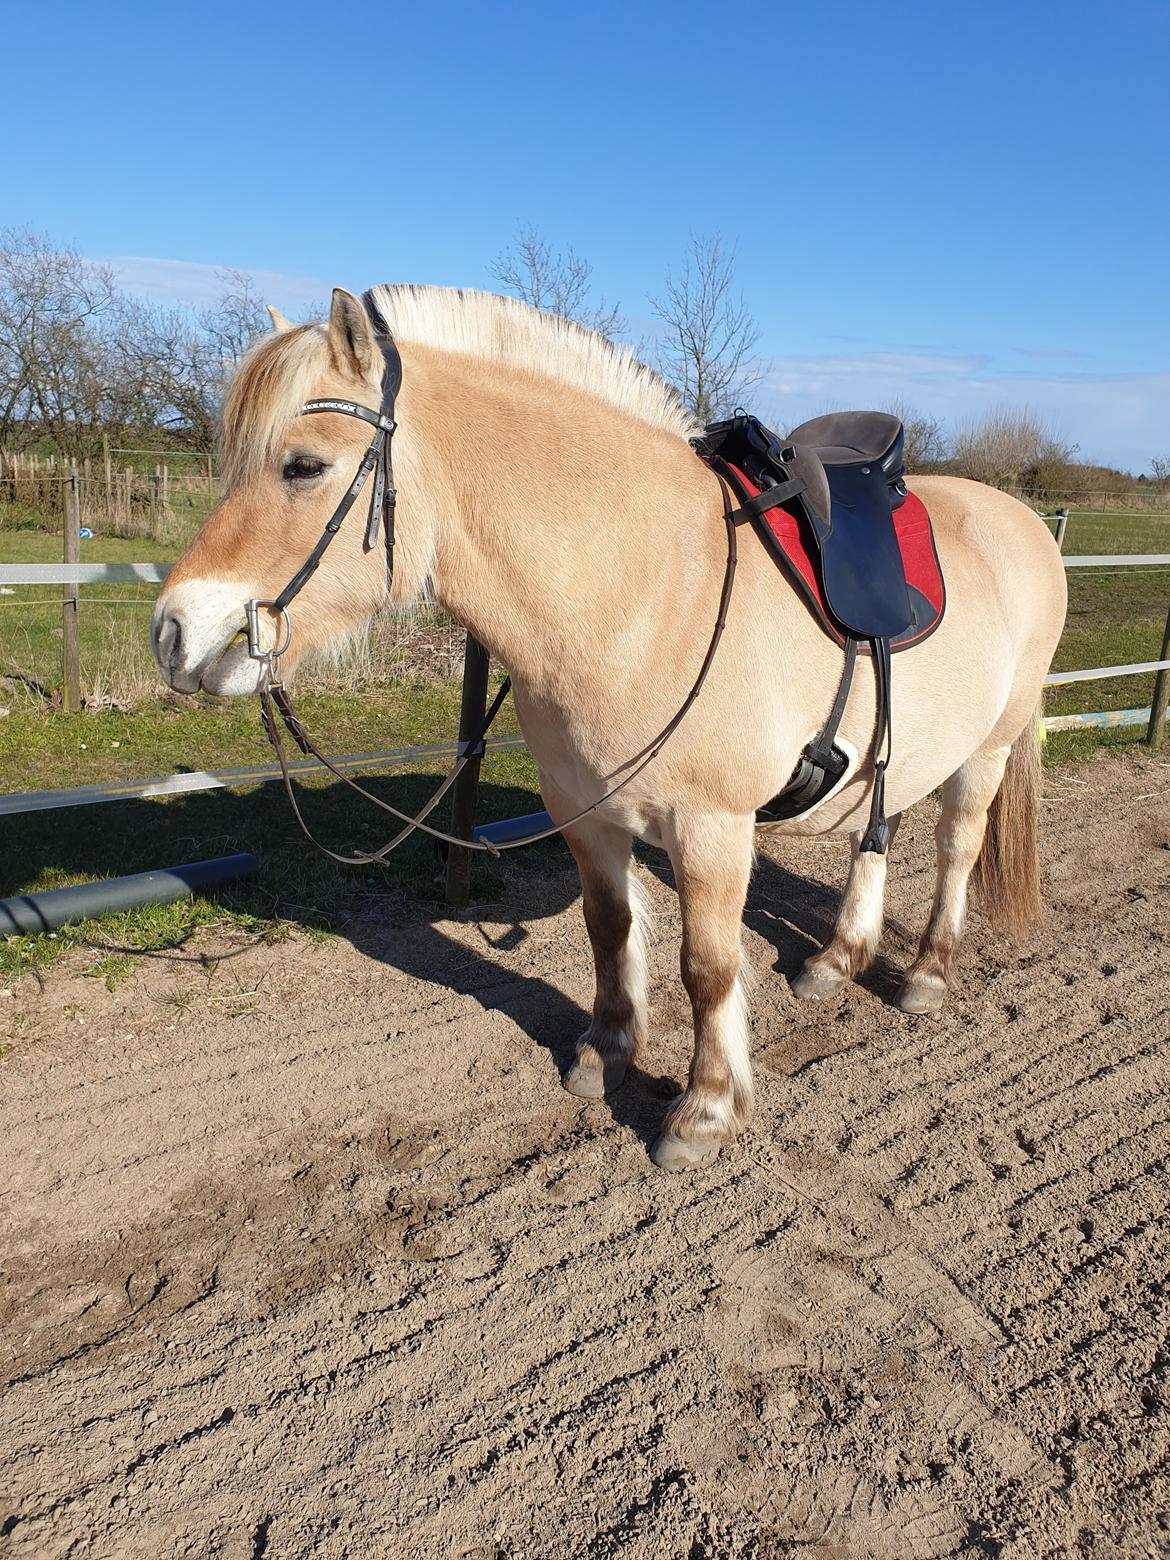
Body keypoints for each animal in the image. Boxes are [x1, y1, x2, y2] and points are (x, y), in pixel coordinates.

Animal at [153, 290, 1073, 1173]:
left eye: (303, 466)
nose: (172, 633)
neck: (643, 588)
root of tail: (1025, 520)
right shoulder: (585, 815)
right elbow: (610, 930)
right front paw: (607, 1052)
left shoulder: (711, 828)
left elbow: (708, 967)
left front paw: (705, 1109)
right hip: (899, 748)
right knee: (875, 837)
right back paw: (836, 958)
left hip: (988, 750)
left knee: (956, 848)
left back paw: (926, 974)